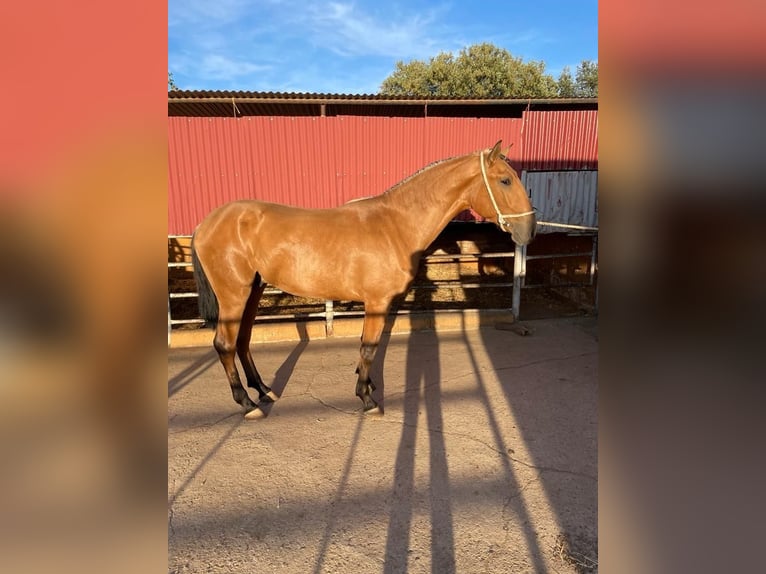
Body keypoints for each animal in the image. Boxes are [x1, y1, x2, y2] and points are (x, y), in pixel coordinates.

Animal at [190, 140, 536, 418]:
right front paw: (367, 399)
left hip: (253, 291)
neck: (396, 224)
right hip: (234, 295)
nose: (529, 229)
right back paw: (246, 403)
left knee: (243, 340)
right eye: (505, 180)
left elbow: (366, 345)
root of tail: (207, 223)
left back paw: (263, 390)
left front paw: (367, 386)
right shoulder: (377, 301)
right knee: (225, 344)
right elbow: (370, 347)